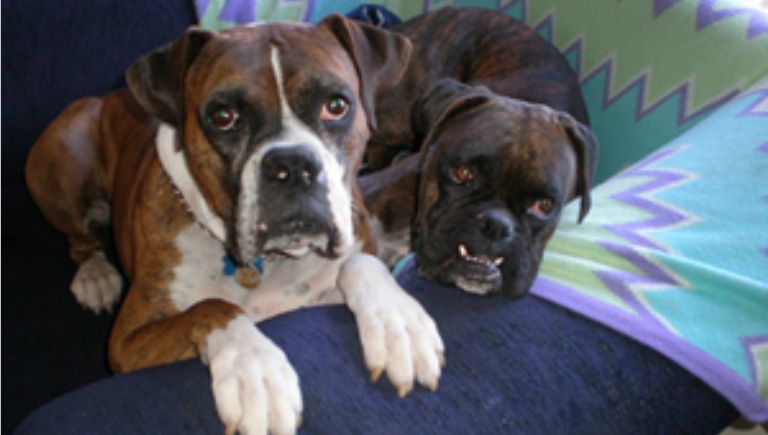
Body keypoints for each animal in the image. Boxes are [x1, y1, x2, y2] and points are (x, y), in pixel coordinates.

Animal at [25, 15, 444, 434]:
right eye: (223, 117)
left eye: (336, 106)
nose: (292, 164)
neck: (269, 263)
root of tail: (109, 95)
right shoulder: (128, 341)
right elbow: (211, 306)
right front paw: (255, 372)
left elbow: (361, 262)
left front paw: (398, 323)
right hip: (67, 146)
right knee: (80, 239)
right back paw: (95, 277)